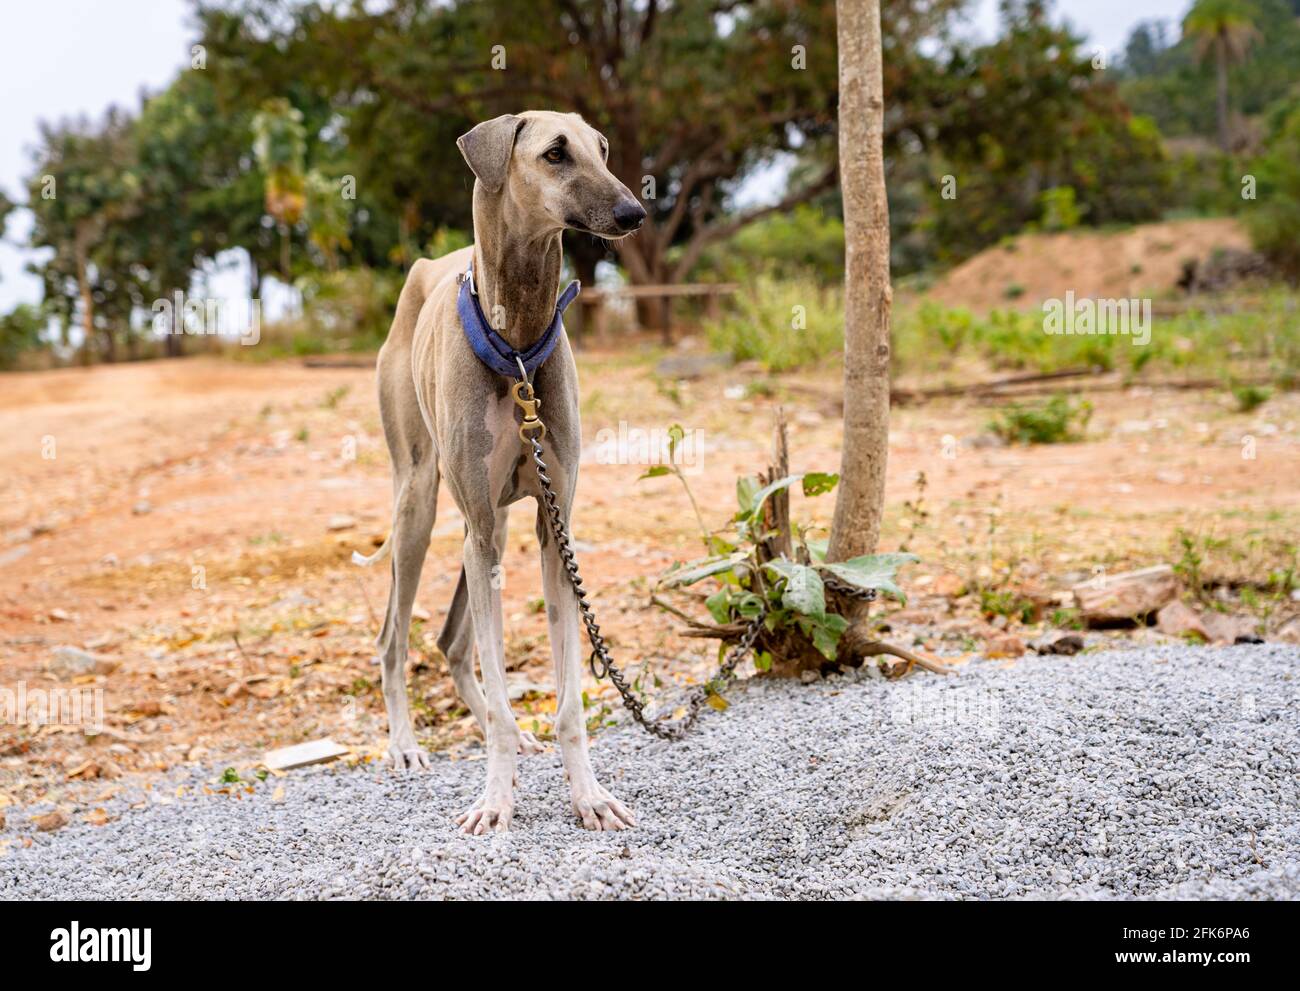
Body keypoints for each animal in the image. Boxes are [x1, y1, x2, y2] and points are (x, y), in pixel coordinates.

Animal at [356, 111, 644, 832]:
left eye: (602, 149)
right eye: (555, 153)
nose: (635, 212)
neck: (516, 346)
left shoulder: (551, 527)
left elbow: (568, 703)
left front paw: (588, 796)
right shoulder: (482, 530)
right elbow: (497, 685)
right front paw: (494, 799)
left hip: (488, 524)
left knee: (452, 644)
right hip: (422, 502)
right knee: (393, 639)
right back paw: (405, 745)